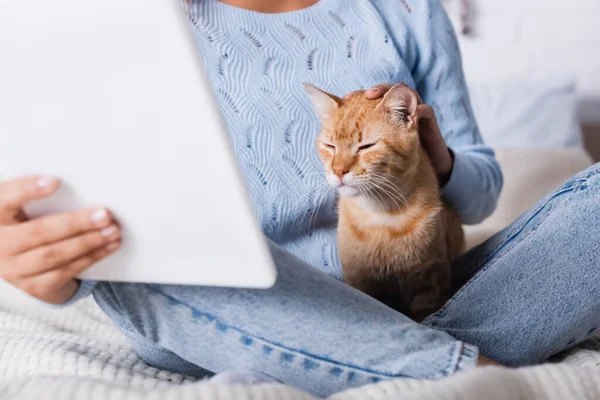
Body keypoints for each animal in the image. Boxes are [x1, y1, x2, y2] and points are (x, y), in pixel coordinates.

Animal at [304, 82, 464, 322]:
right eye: (331, 146)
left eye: (366, 146)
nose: (338, 171)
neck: (382, 218)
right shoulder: (361, 283)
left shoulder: (430, 284)